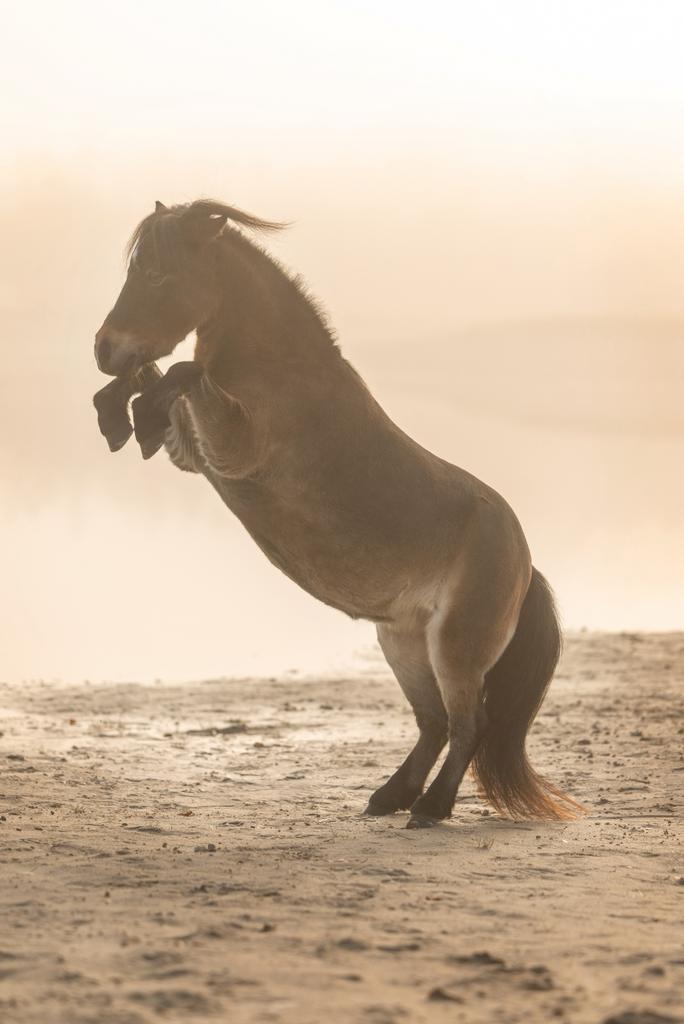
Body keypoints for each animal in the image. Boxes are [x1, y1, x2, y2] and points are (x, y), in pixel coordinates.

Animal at [93, 198, 582, 828]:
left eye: (158, 274)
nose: (104, 348)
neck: (282, 369)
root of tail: (526, 563)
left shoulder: (231, 447)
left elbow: (181, 374)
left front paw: (132, 414)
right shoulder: (197, 455)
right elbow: (154, 382)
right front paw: (118, 416)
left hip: (453, 648)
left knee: (469, 723)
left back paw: (431, 807)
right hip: (402, 644)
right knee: (434, 723)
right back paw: (390, 797)